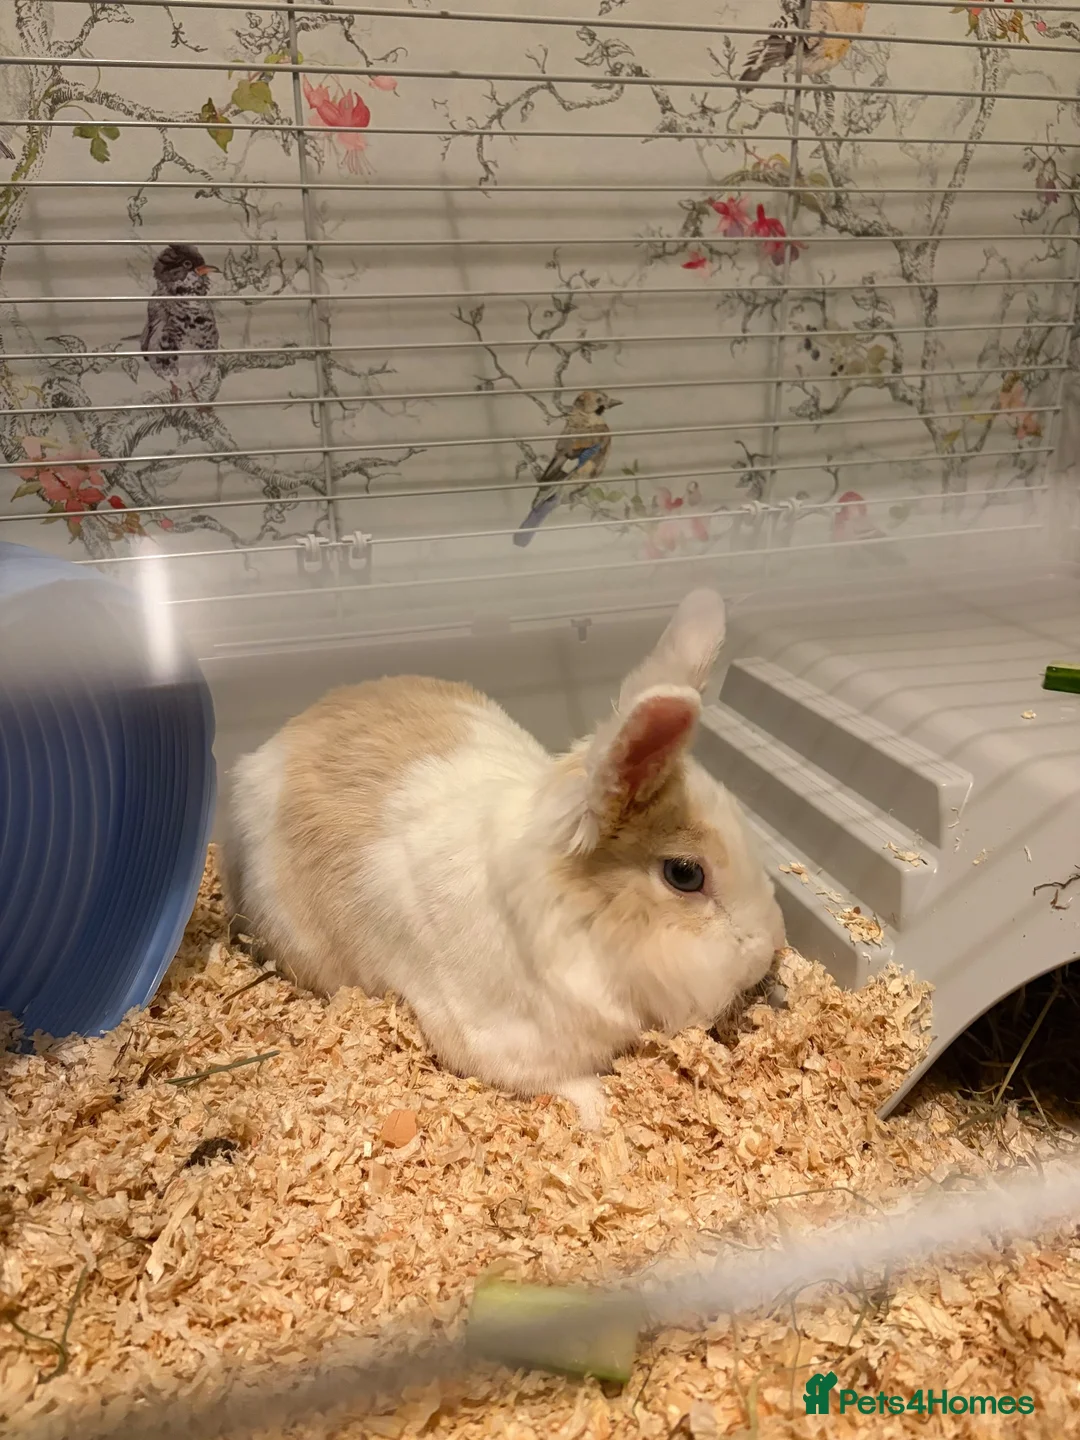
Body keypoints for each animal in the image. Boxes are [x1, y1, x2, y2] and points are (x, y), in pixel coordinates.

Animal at [223, 588, 786, 1129]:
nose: (768, 949)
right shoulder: (503, 1048)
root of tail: (269, 747)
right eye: (684, 874)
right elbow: (573, 1085)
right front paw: (602, 1114)